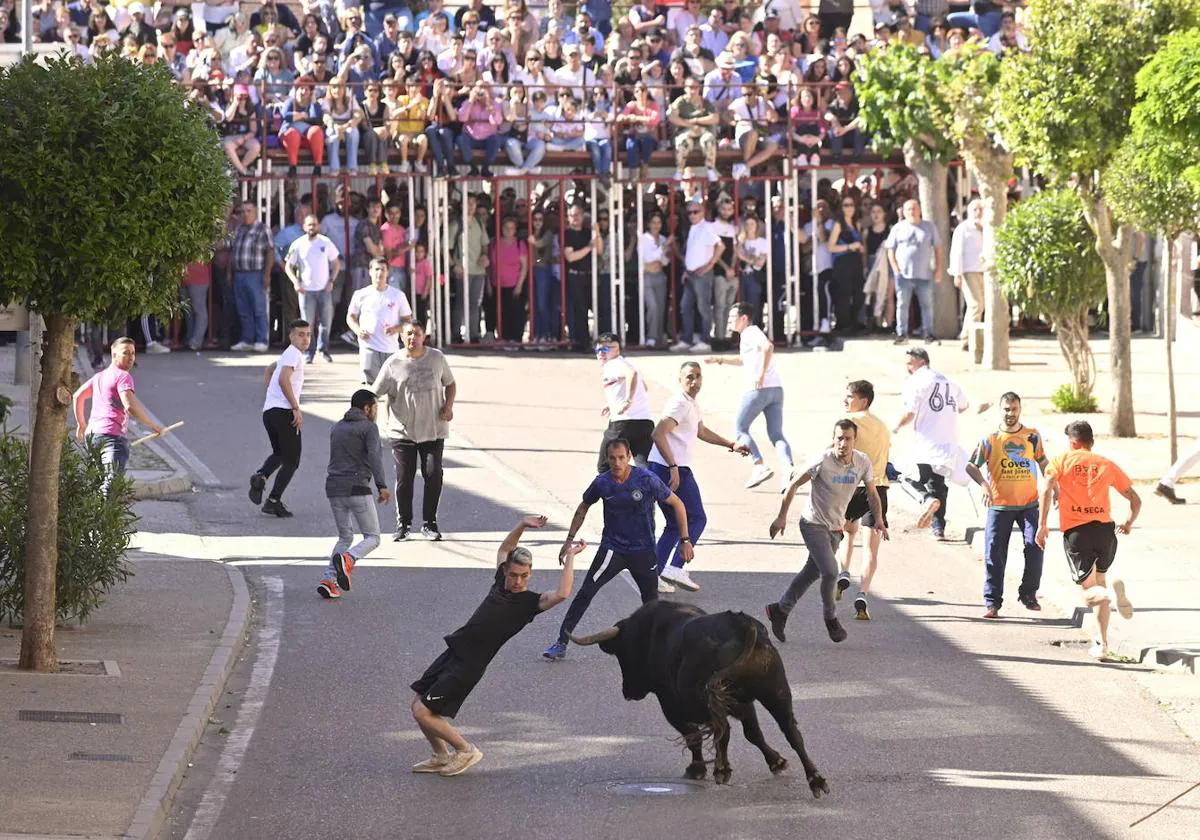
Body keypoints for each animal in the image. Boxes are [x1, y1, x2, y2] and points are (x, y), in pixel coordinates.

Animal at [566, 600, 830, 796]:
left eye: (622, 652)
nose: (627, 692)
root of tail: (741, 626)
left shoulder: (671, 703)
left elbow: (693, 735)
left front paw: (697, 769)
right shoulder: (743, 703)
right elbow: (753, 733)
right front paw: (776, 761)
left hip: (716, 697)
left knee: (723, 729)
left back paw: (722, 770)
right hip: (776, 691)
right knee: (792, 732)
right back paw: (816, 779)